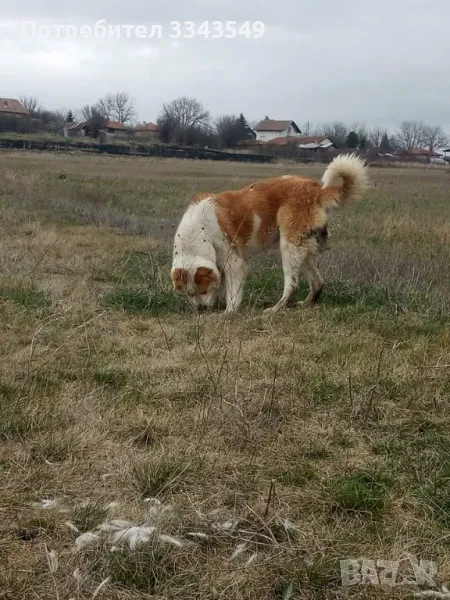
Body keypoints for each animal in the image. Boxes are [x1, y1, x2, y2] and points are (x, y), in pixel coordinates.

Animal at [171, 154, 368, 314]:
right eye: (189, 294)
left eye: (203, 291)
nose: (201, 309)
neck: (200, 231)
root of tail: (316, 190)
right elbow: (221, 284)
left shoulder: (234, 263)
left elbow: (233, 292)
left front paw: (228, 312)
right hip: (303, 249)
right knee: (317, 282)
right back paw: (306, 304)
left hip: (289, 246)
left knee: (292, 285)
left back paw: (275, 309)